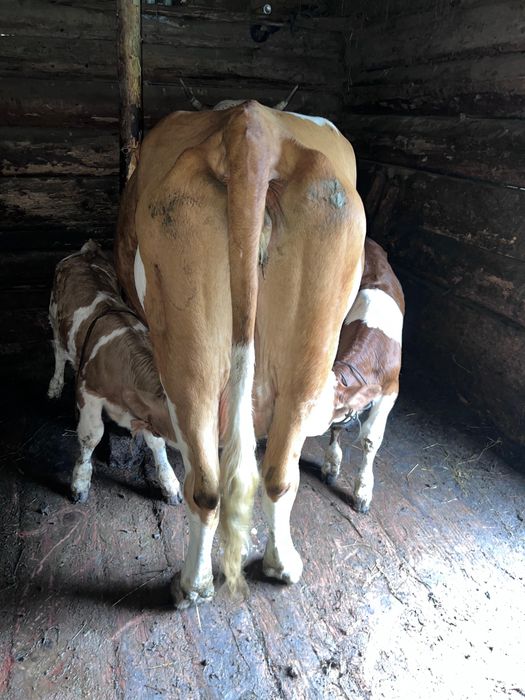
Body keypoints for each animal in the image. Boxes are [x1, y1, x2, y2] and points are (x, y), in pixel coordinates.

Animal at [47, 240, 182, 506]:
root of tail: (86, 252)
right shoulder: (89, 393)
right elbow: (92, 435)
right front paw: (80, 484)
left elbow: (156, 442)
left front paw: (169, 483)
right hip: (55, 315)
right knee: (58, 350)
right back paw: (55, 385)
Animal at [115, 100, 366, 607]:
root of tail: (252, 127)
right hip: (310, 350)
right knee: (277, 474)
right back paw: (281, 565)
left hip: (185, 351)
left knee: (206, 484)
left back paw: (192, 585)